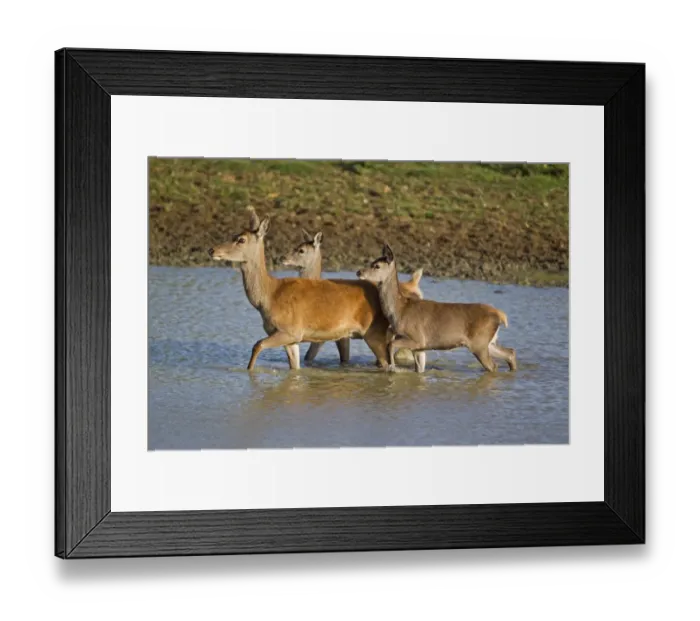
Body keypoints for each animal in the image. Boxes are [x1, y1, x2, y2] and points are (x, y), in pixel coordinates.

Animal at [208, 208, 392, 371]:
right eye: (233, 235)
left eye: (241, 239)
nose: (212, 250)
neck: (269, 296)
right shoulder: (292, 340)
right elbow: (294, 368)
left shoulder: (290, 330)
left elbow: (257, 345)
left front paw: (249, 371)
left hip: (374, 332)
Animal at [357, 244, 517, 374]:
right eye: (371, 262)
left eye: (377, 266)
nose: (359, 272)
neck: (399, 311)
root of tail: (500, 315)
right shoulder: (419, 348)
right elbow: (418, 370)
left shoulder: (418, 338)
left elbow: (390, 344)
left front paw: (393, 368)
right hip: (487, 342)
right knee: (510, 353)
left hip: (479, 343)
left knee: (494, 365)